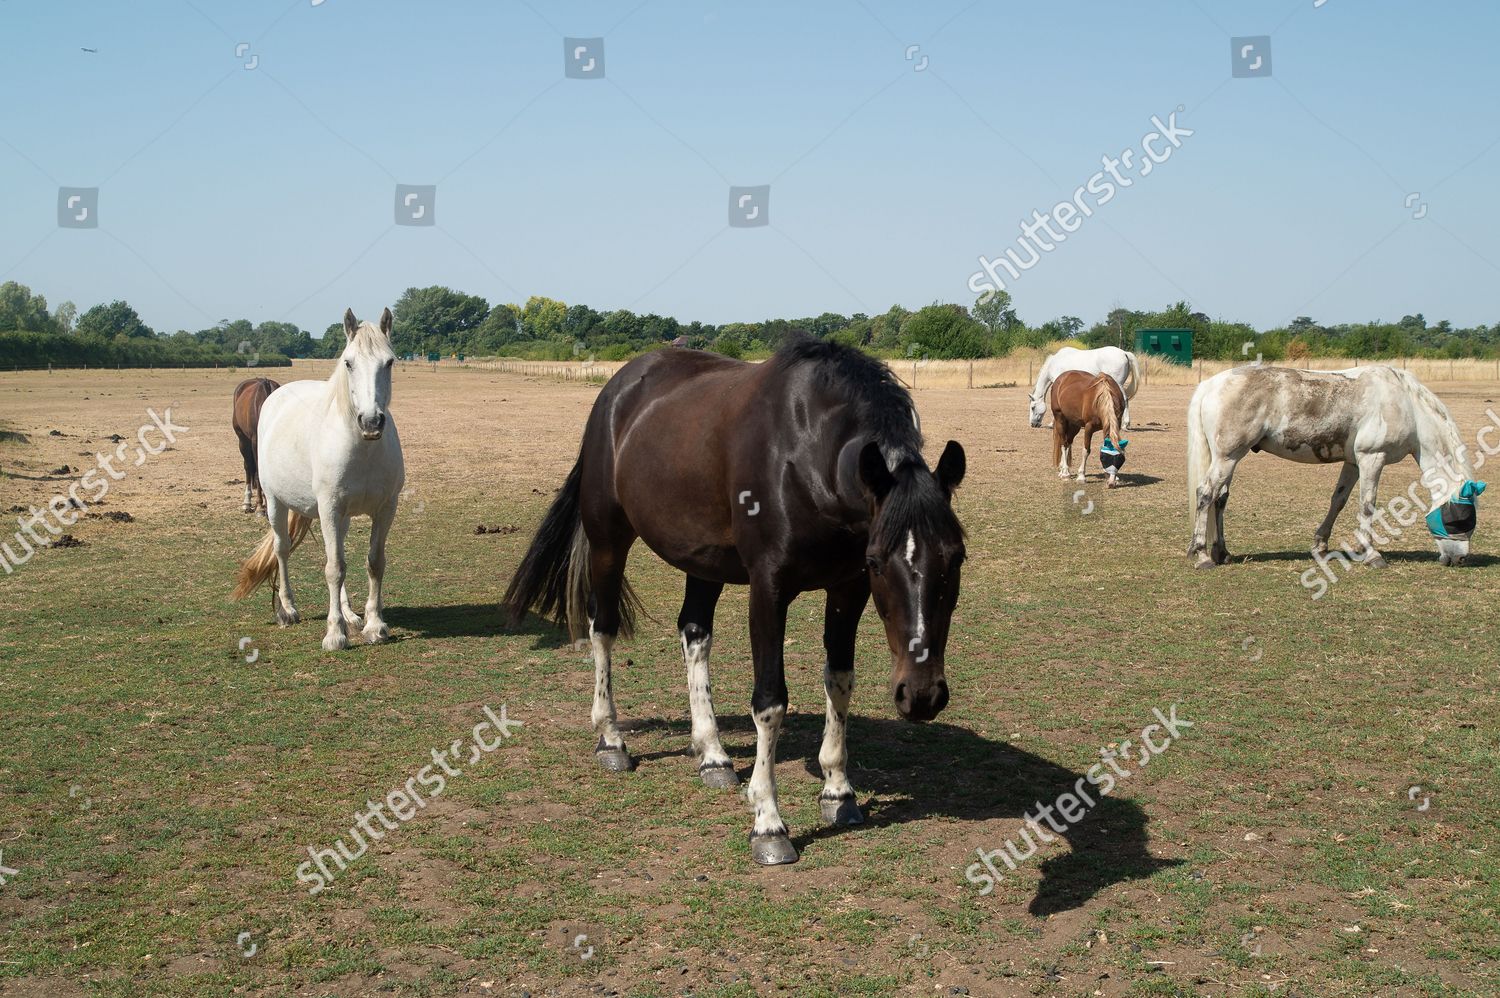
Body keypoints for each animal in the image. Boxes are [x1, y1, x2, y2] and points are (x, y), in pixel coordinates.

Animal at [231, 377, 280, 514]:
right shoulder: (255, 441)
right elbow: (258, 471)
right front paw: (259, 505)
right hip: (243, 440)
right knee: (248, 466)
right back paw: (247, 502)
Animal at [503, 337, 967, 866]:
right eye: (879, 561)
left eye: (957, 556)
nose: (922, 695)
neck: (806, 453)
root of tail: (617, 389)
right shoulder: (769, 588)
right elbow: (770, 702)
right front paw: (768, 822)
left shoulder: (847, 588)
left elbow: (839, 681)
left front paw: (838, 791)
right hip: (607, 540)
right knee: (603, 630)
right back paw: (612, 740)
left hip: (702, 560)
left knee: (694, 634)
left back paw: (712, 754)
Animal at [1187, 365, 1483, 569]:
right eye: (1461, 518)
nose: (1460, 560)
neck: (1404, 404)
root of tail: (1210, 385)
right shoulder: (1372, 458)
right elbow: (1368, 505)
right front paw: (1371, 554)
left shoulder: (1353, 462)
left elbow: (1338, 501)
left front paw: (1320, 545)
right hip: (1227, 457)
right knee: (1206, 494)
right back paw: (1201, 555)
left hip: (1229, 459)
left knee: (1221, 499)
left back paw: (1222, 552)